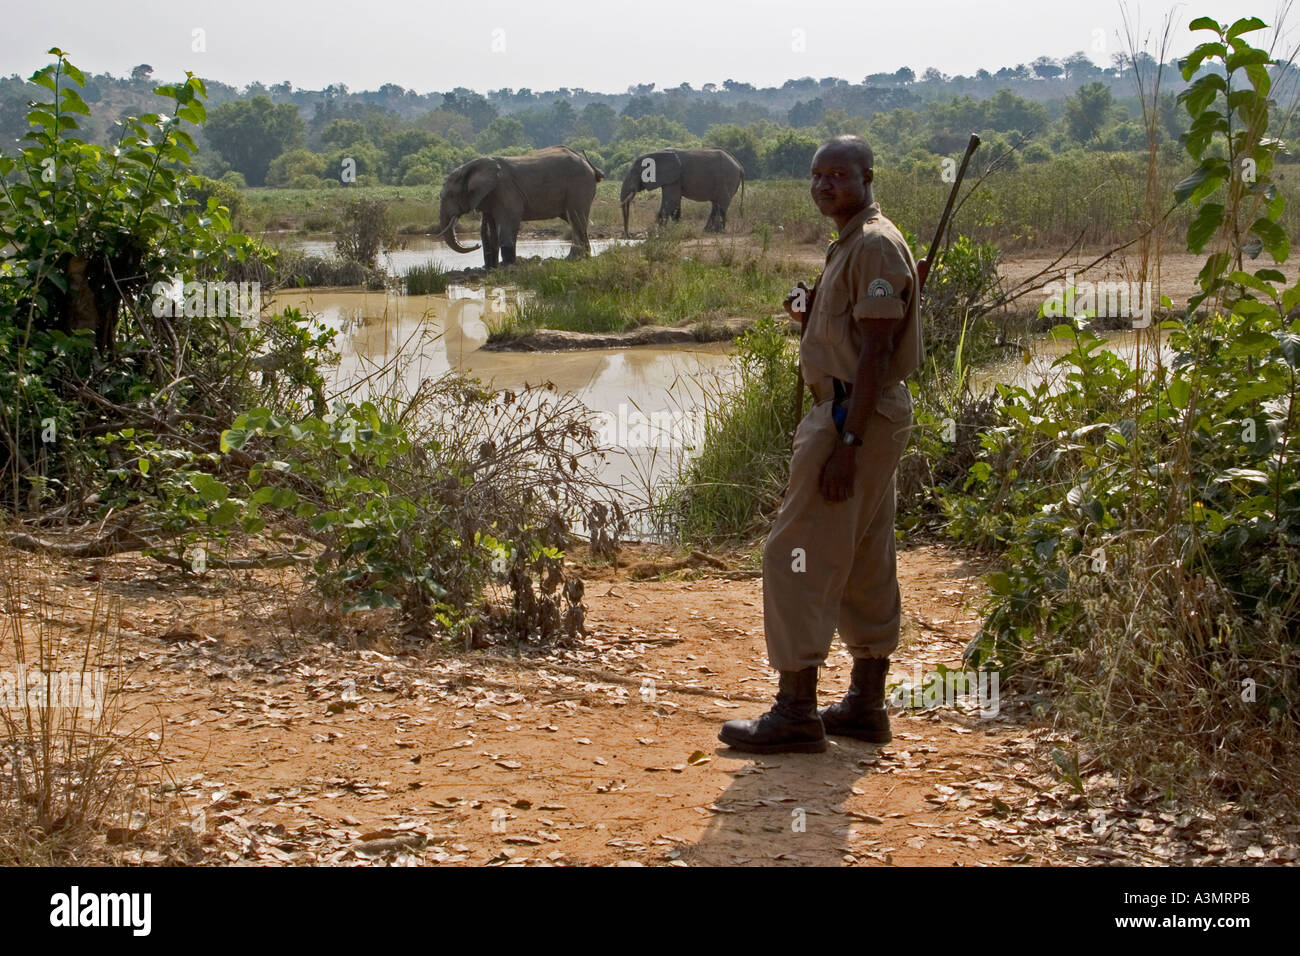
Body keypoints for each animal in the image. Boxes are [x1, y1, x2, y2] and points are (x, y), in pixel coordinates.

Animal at [435, 146, 604, 268]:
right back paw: (581, 257)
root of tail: (591, 166)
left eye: (450, 195)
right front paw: (490, 268)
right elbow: (490, 228)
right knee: (576, 221)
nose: (475, 244)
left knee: (576, 218)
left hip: (579, 185)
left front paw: (507, 265)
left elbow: (509, 221)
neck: (470, 167)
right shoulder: (489, 196)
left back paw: (574, 258)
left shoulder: (505, 190)